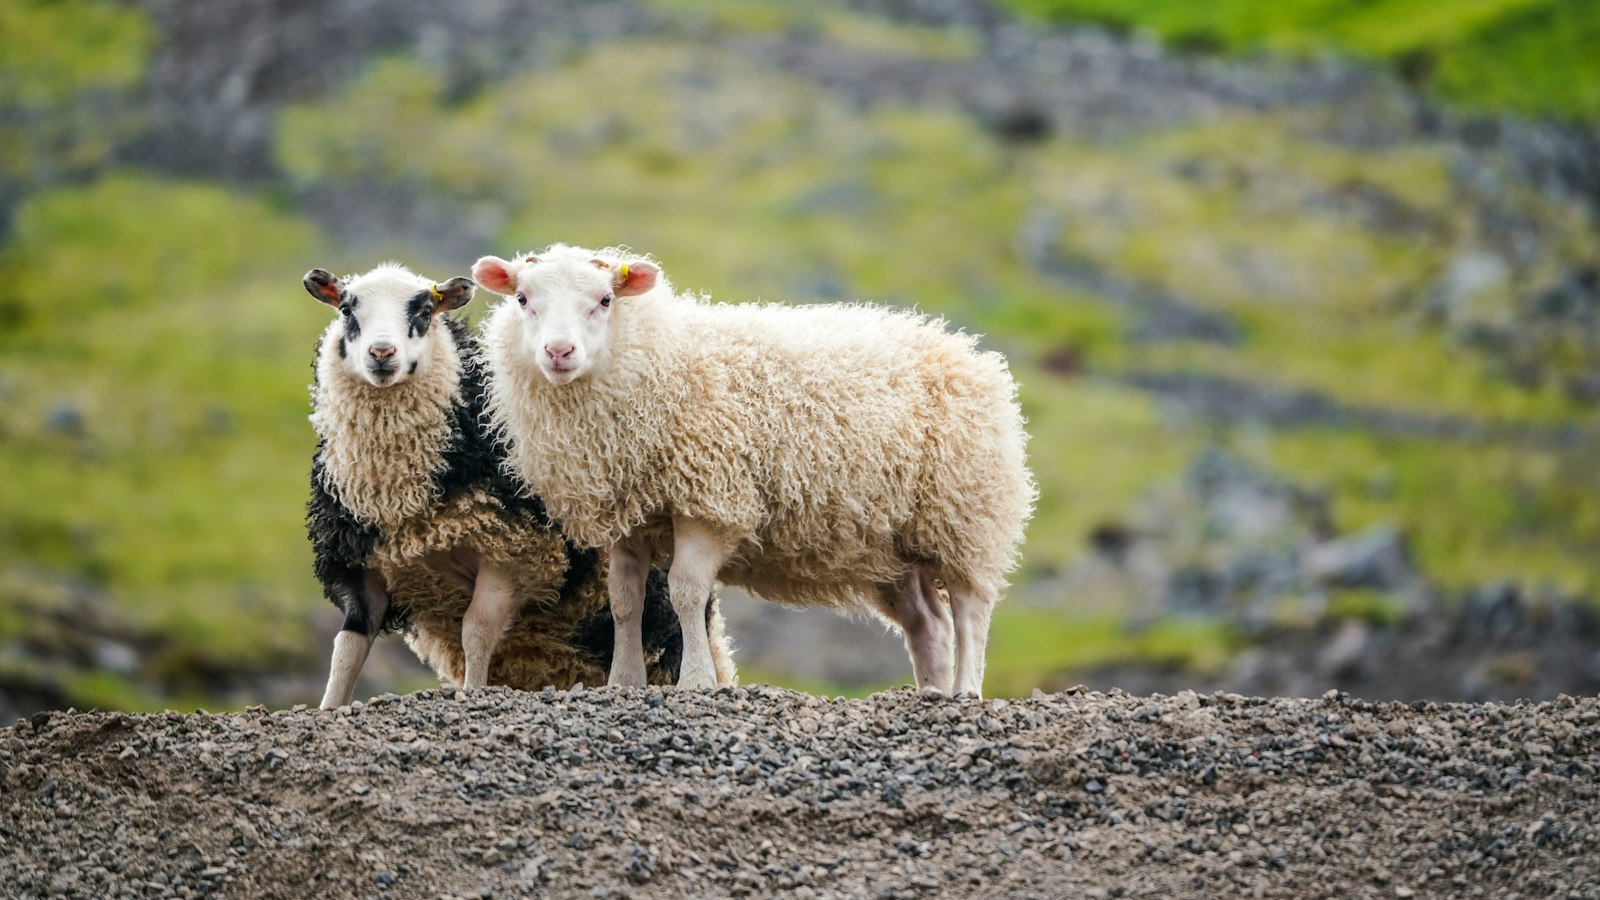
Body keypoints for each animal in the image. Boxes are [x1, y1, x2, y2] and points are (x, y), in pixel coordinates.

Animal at [303, 262, 736, 708]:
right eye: (347, 310)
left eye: (424, 311)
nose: (381, 353)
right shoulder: (358, 561)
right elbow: (348, 647)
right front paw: (330, 707)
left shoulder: (513, 552)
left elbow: (477, 631)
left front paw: (473, 693)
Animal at [474, 245, 1035, 696]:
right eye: (522, 299)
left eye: (605, 301)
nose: (558, 351)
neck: (657, 361)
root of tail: (968, 351)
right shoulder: (629, 514)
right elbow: (625, 601)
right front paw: (623, 682)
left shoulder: (709, 500)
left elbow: (686, 591)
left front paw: (698, 681)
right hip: (894, 545)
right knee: (928, 624)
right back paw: (931, 692)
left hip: (964, 513)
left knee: (970, 609)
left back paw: (965, 691)